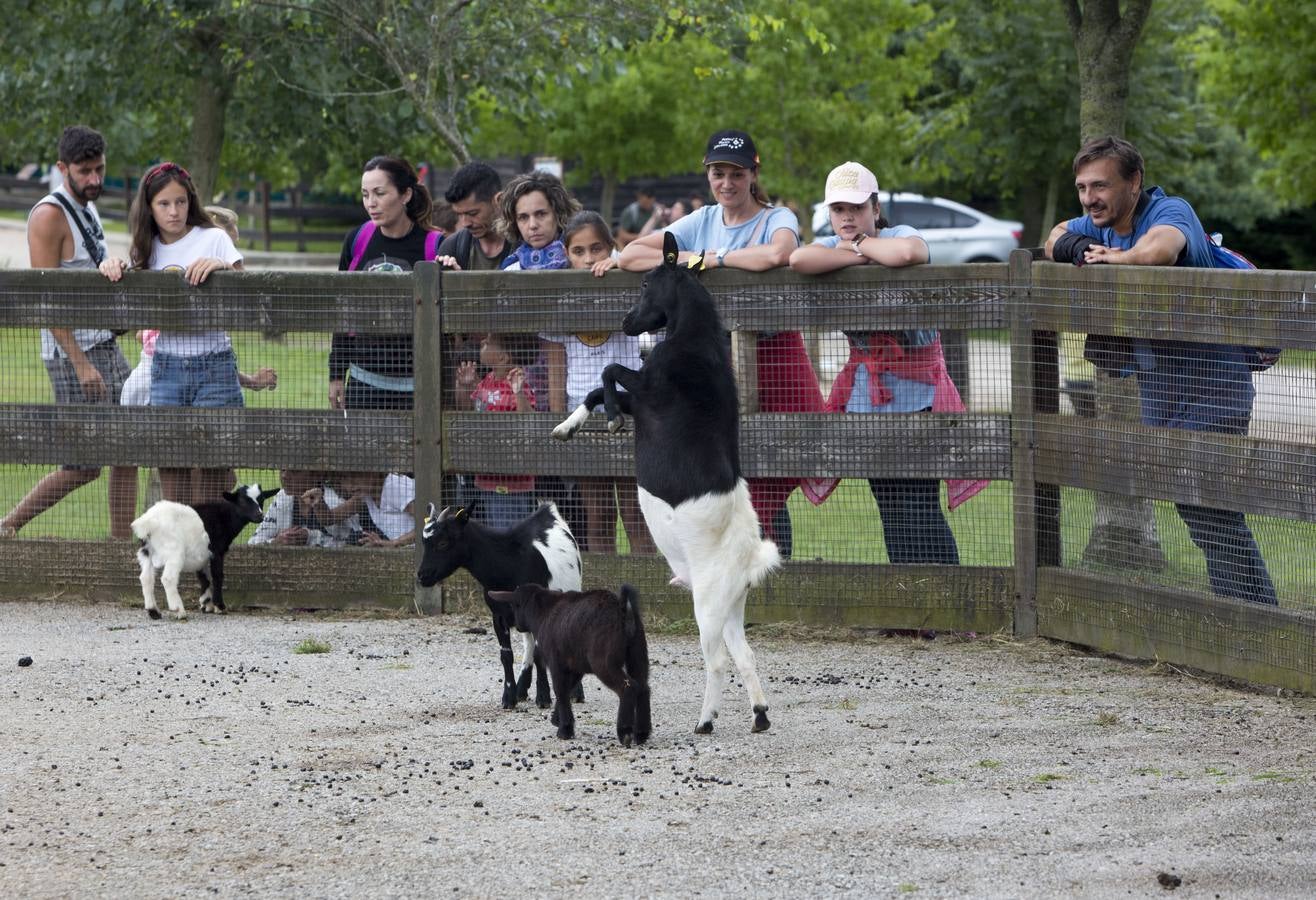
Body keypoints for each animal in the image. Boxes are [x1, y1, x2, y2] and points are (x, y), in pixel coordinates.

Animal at [547, 230, 773, 731]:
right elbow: (596, 389)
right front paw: (568, 427)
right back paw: (760, 716)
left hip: (707, 603)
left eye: (647, 281)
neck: (695, 344)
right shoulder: (643, 400)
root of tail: (750, 559)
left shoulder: (648, 392)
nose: (627, 323)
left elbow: (609, 373)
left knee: (718, 660)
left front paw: (611, 419)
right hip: (731, 607)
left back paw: (706, 720)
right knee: (746, 654)